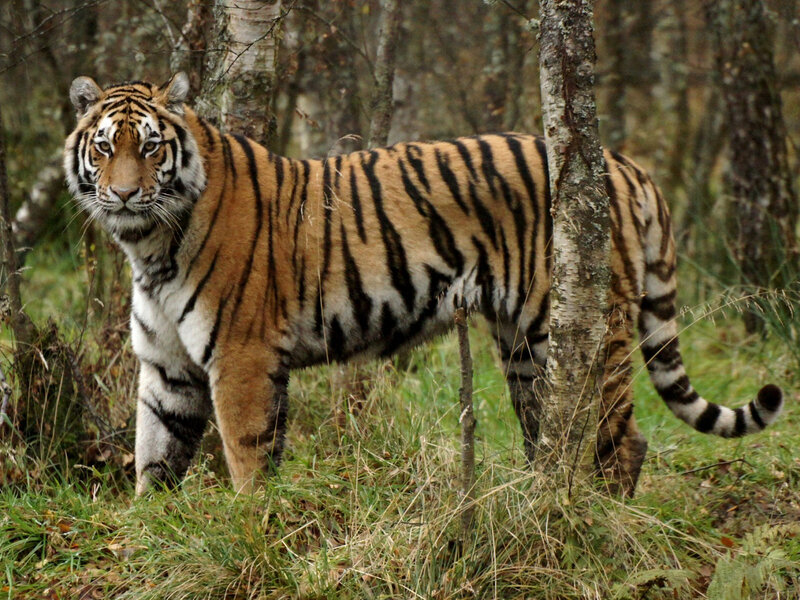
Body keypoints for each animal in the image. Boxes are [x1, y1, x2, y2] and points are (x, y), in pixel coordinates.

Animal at [64, 72, 783, 497]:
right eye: (103, 147)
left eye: (151, 147)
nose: (123, 195)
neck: (148, 246)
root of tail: (624, 163)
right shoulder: (167, 367)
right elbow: (153, 458)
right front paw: (148, 532)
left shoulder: (241, 357)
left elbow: (246, 460)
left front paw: (252, 535)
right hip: (524, 348)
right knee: (547, 433)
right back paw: (535, 503)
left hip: (589, 330)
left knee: (623, 442)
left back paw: (596, 524)